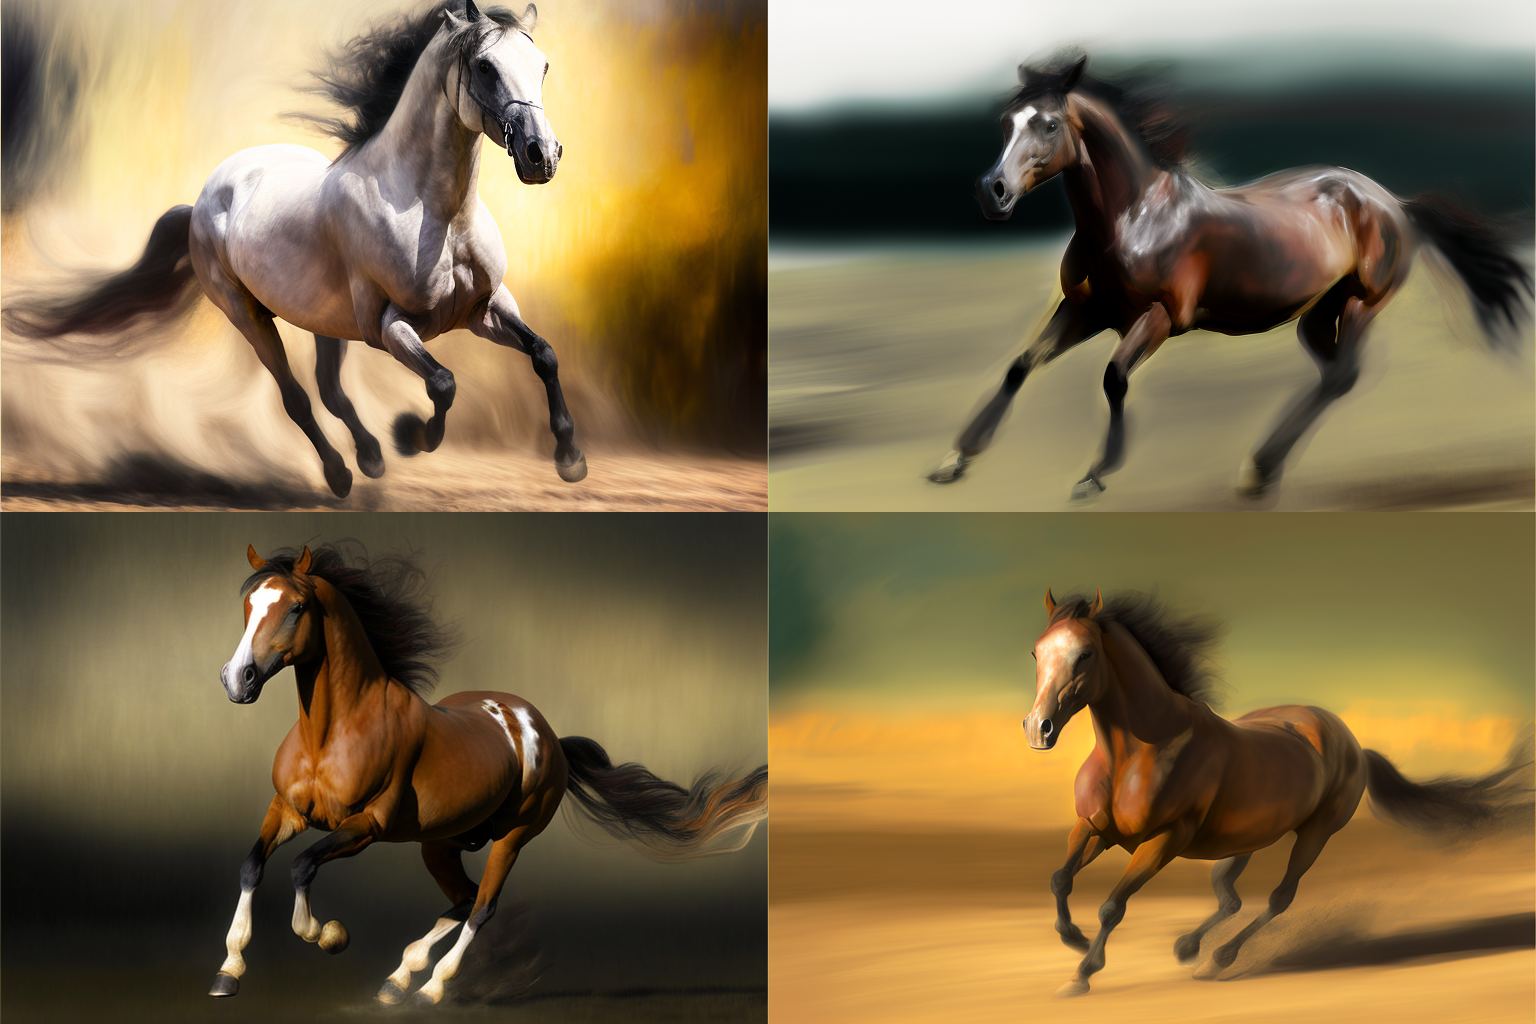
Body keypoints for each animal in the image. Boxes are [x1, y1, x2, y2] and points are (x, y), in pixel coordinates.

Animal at [3, 0, 585, 498]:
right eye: (485, 67)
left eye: (543, 66)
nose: (541, 154)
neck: (439, 216)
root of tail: (203, 201)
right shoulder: (393, 327)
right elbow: (443, 383)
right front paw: (411, 436)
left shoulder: (486, 308)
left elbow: (545, 354)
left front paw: (571, 460)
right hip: (248, 314)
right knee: (297, 398)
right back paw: (341, 474)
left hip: (326, 321)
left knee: (330, 391)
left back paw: (370, 457)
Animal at [209, 543, 767, 1005]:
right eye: (248, 606)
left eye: (295, 608)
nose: (238, 680)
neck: (332, 732)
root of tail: (548, 736)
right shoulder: (287, 810)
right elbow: (252, 865)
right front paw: (228, 971)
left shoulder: (367, 826)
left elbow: (302, 866)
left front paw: (325, 934)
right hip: (440, 842)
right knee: (462, 898)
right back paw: (398, 979)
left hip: (512, 838)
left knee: (481, 906)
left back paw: (429, 989)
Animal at [929, 52, 1533, 499]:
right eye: (1007, 122)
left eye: (1049, 123)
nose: (991, 192)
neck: (1132, 219)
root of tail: (1394, 203)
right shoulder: (1086, 309)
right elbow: (1020, 365)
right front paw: (955, 459)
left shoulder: (1161, 317)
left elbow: (1114, 377)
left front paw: (1096, 474)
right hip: (1318, 312)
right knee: (1330, 373)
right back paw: (1264, 469)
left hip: (1363, 301)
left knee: (1343, 376)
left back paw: (1258, 471)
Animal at [1024, 587, 1531, 996]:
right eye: (1035, 653)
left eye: (1086, 653)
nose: (1038, 728)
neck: (1138, 752)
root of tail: (1352, 743)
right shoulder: (1095, 828)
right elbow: (1059, 878)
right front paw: (1075, 940)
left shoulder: (1165, 839)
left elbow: (1112, 906)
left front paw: (1082, 974)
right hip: (1244, 841)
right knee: (1230, 897)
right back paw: (1188, 947)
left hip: (1315, 834)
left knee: (1278, 899)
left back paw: (1216, 960)